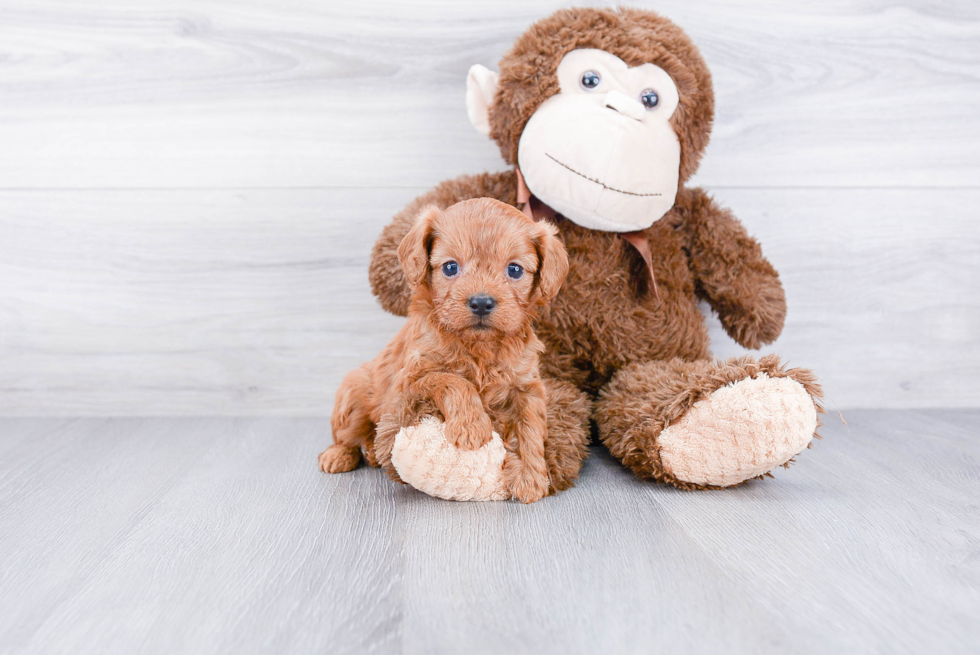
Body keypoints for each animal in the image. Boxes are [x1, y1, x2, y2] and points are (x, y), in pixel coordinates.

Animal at [318, 197, 572, 504]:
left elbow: (530, 427)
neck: (478, 345)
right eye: (450, 267)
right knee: (345, 435)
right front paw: (472, 426)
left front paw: (531, 477)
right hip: (354, 394)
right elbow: (453, 380)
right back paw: (339, 455)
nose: (481, 302)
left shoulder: (526, 387)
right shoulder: (409, 382)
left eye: (514, 270)